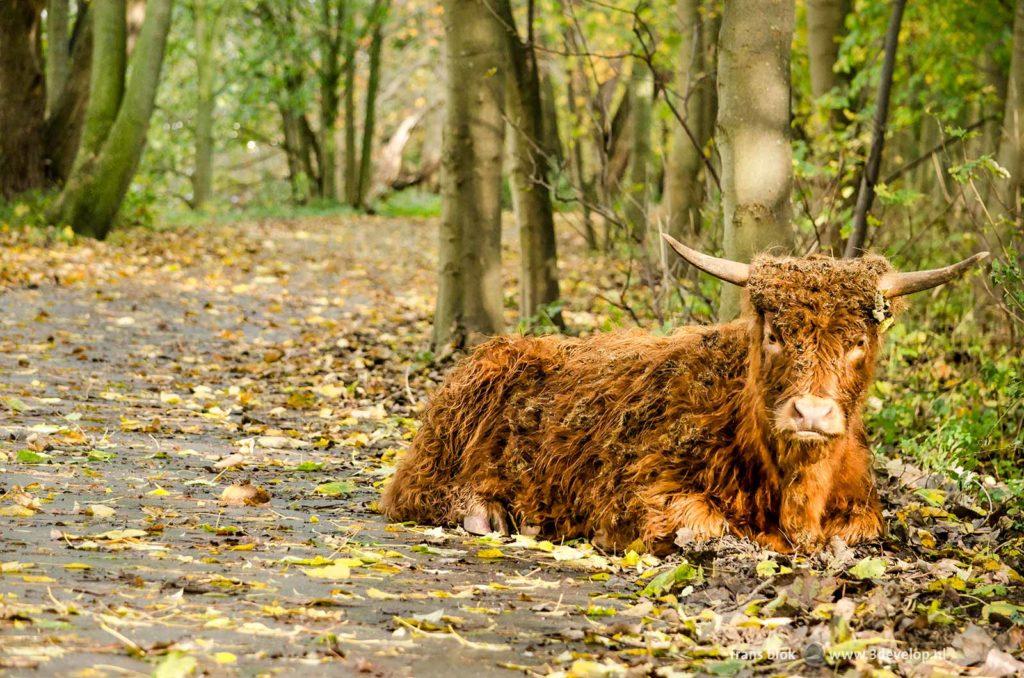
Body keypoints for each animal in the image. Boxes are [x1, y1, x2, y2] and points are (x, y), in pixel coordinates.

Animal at [380, 241, 987, 557]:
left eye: (859, 341)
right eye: (775, 333)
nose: (811, 413)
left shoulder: (861, 508)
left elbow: (858, 531)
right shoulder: (641, 491)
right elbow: (707, 528)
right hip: (448, 436)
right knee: (412, 491)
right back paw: (490, 513)